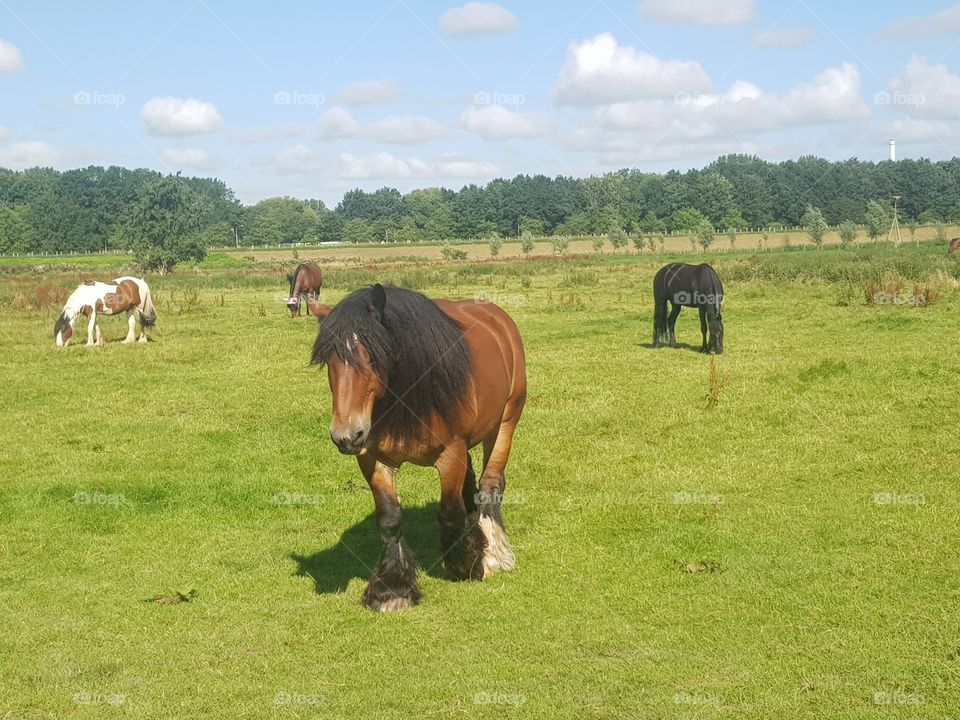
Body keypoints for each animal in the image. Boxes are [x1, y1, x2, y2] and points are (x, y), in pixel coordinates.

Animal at [310, 284, 527, 611]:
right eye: (329, 362)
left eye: (372, 358)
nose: (346, 436)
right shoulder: (373, 459)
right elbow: (389, 519)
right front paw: (392, 589)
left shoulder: (450, 454)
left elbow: (449, 512)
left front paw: (466, 565)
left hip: (504, 423)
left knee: (490, 485)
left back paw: (494, 554)